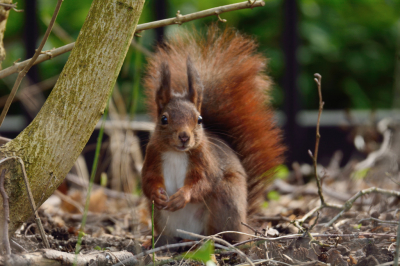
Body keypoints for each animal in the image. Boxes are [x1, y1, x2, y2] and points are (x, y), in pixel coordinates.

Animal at [141, 27, 284, 243]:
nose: (184, 137)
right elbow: (146, 181)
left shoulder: (206, 161)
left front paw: (182, 196)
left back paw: (212, 241)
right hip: (160, 219)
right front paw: (157, 194)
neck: (176, 153)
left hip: (225, 199)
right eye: (164, 119)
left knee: (221, 232)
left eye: (199, 120)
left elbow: (204, 182)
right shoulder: (152, 156)